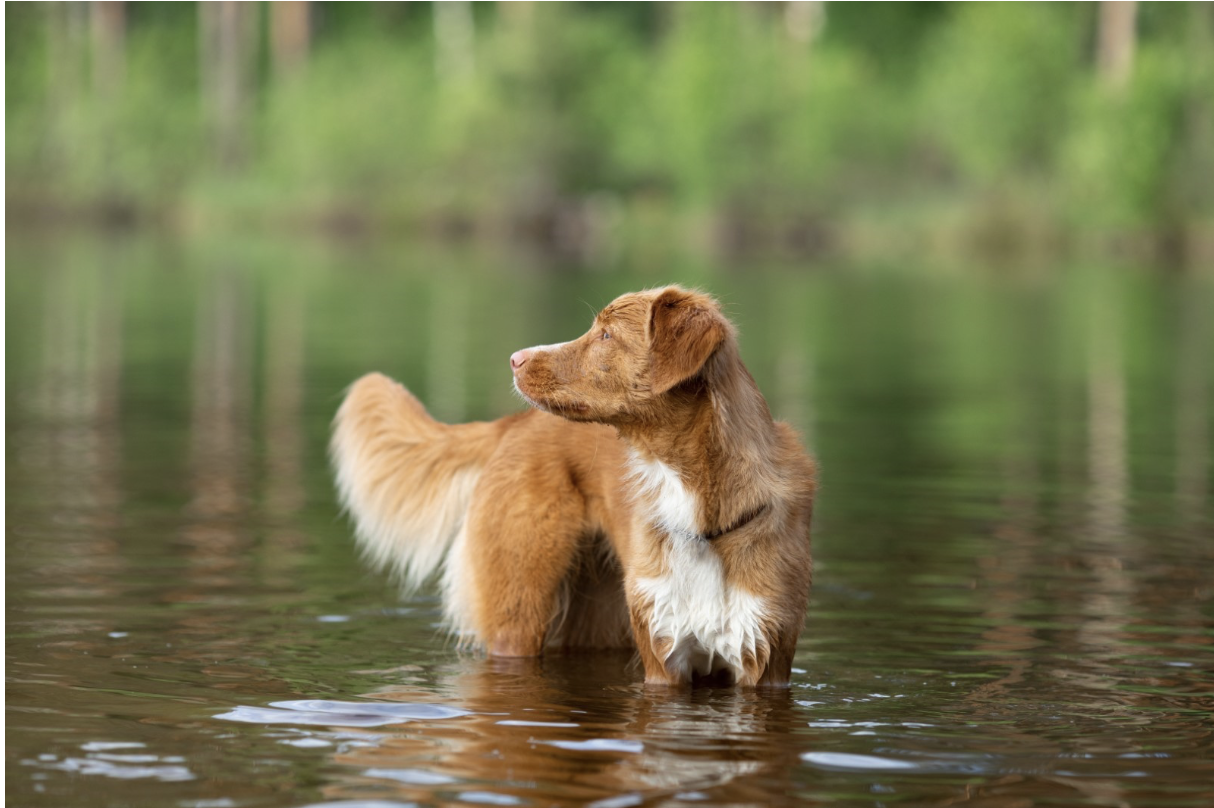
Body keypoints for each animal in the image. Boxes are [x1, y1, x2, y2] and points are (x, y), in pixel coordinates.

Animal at [332, 286, 815, 684]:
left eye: (606, 335)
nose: (515, 359)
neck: (699, 514)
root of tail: (512, 424)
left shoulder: (766, 659)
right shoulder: (663, 661)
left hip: (597, 617)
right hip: (518, 613)